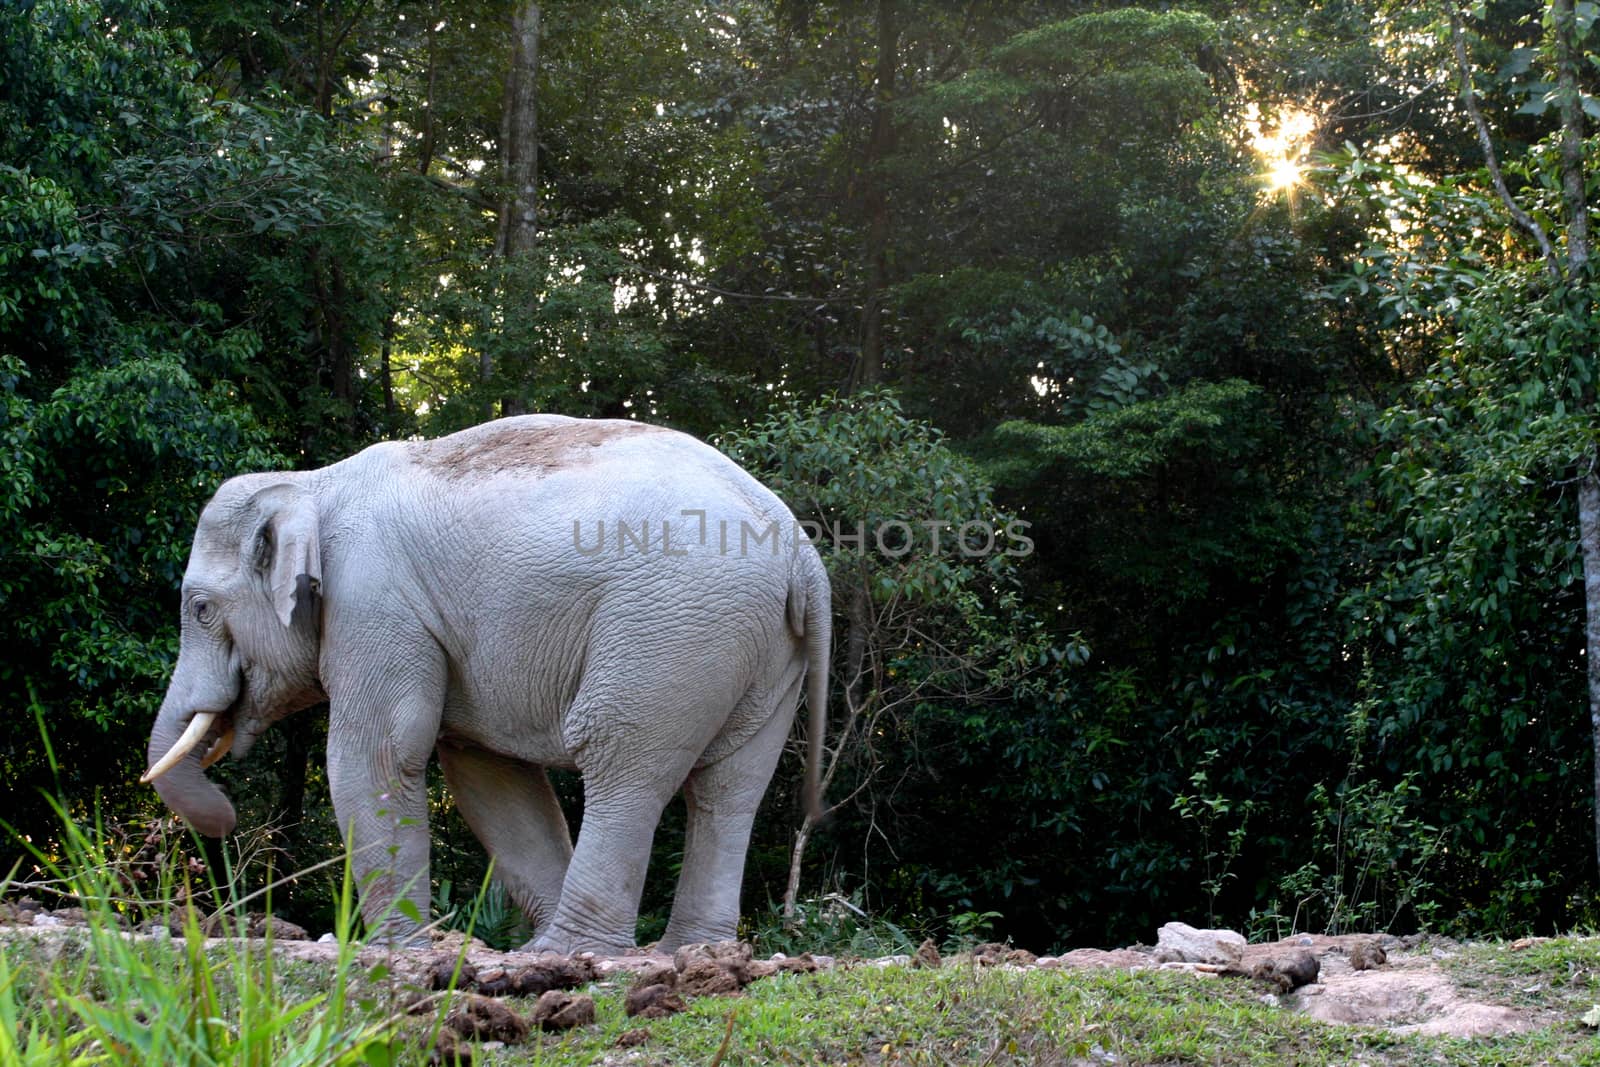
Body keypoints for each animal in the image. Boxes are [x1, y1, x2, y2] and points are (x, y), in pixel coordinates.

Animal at [142, 412, 832, 953]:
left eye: (199, 608)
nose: (227, 821)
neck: (315, 483)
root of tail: (802, 555)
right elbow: (488, 777)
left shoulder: (374, 604)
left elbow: (377, 755)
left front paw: (399, 952)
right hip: (760, 651)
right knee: (730, 787)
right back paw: (679, 953)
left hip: (670, 631)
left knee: (621, 760)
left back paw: (566, 954)